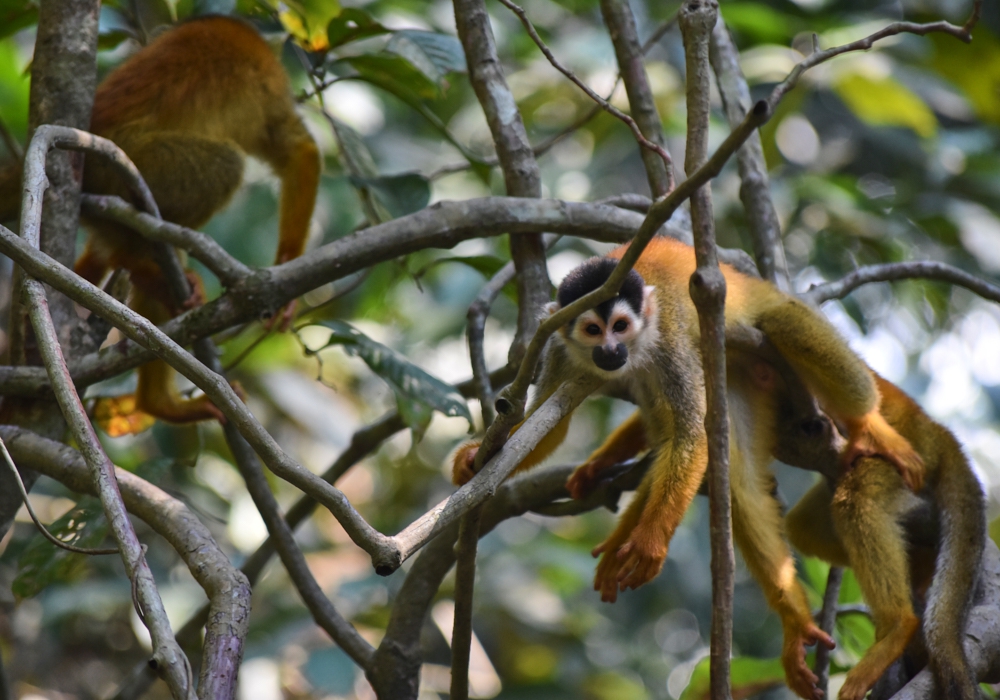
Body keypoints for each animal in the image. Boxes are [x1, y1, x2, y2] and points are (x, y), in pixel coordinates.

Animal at [0, 16, 320, 422]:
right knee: (228, 165)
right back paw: (138, 267)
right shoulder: (270, 85)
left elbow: (296, 152)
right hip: (131, 165)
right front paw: (287, 270)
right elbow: (298, 150)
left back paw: (156, 398)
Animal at [452, 237, 920, 700]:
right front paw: (475, 457)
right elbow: (548, 428)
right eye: (592, 330)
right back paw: (795, 620)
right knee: (738, 483)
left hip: (761, 328)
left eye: (620, 326)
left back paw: (870, 425)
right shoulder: (557, 347)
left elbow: (692, 436)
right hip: (737, 374)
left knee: (785, 328)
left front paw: (648, 542)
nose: (610, 350)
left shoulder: (668, 341)